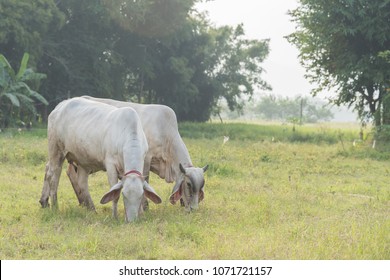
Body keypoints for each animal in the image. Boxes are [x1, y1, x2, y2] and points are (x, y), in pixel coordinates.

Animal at [67, 95, 209, 211]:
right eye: (189, 184)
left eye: (202, 185)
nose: (193, 209)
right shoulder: (146, 158)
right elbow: (146, 179)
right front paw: (145, 207)